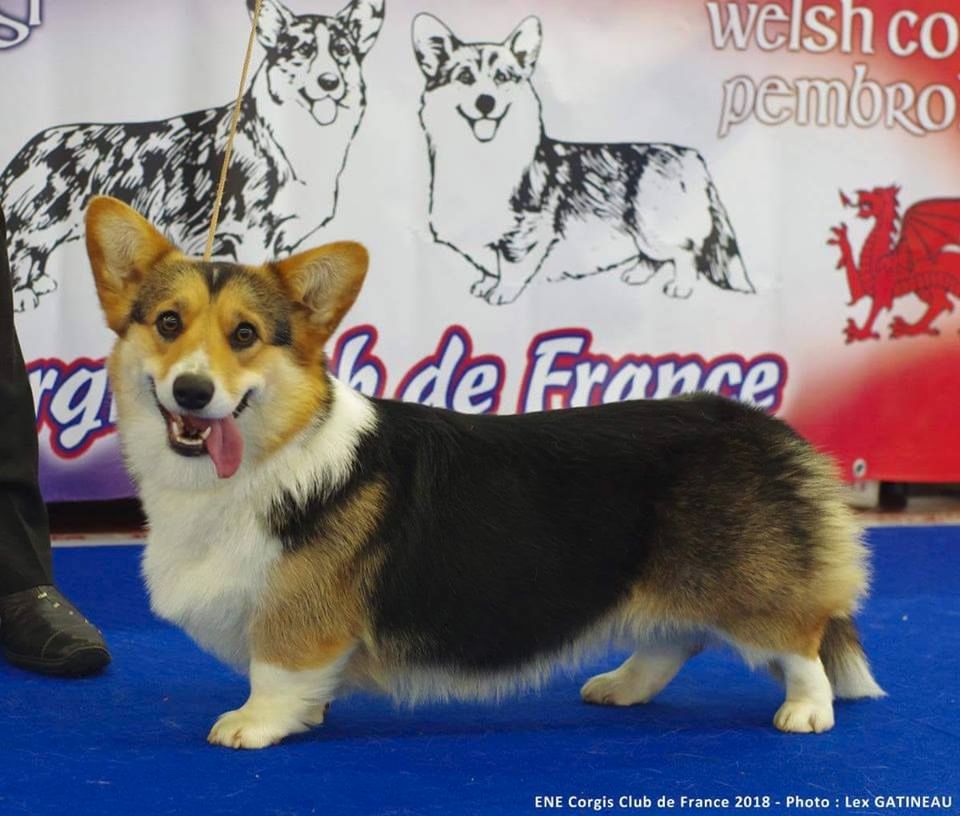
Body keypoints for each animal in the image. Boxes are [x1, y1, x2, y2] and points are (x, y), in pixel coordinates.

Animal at [0, 0, 384, 312]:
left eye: (342, 50)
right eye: (302, 50)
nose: (329, 82)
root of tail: (30, 146)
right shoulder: (250, 234)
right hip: (39, 223)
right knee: (19, 250)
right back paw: (24, 294)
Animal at [86, 196, 882, 749]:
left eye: (245, 335)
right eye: (166, 323)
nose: (192, 392)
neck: (268, 456)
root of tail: (763, 426)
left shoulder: (295, 615)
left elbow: (276, 669)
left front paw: (254, 723)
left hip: (750, 588)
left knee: (799, 639)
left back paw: (805, 711)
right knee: (672, 635)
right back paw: (621, 686)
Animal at [412, 14, 754, 306]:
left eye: (503, 77)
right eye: (465, 77)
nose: (486, 102)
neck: (480, 158)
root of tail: (692, 155)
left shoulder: (523, 233)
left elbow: (510, 264)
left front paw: (501, 293)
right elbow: (488, 266)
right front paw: (484, 284)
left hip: (654, 229)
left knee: (685, 254)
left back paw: (680, 287)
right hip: (641, 232)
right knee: (653, 257)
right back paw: (636, 274)